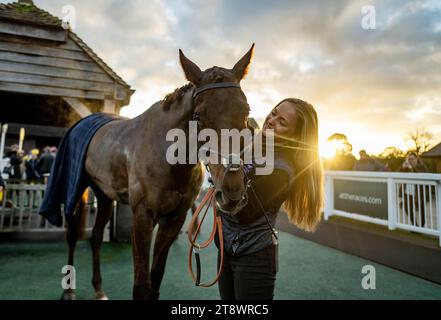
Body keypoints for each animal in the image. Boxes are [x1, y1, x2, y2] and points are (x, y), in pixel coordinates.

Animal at [62, 45, 254, 300]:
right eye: (198, 115)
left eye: (246, 112)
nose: (232, 189)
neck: (169, 158)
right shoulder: (142, 215)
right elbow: (141, 286)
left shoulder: (174, 218)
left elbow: (155, 280)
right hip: (75, 188)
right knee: (72, 236)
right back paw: (69, 290)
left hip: (104, 195)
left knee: (95, 238)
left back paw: (98, 288)